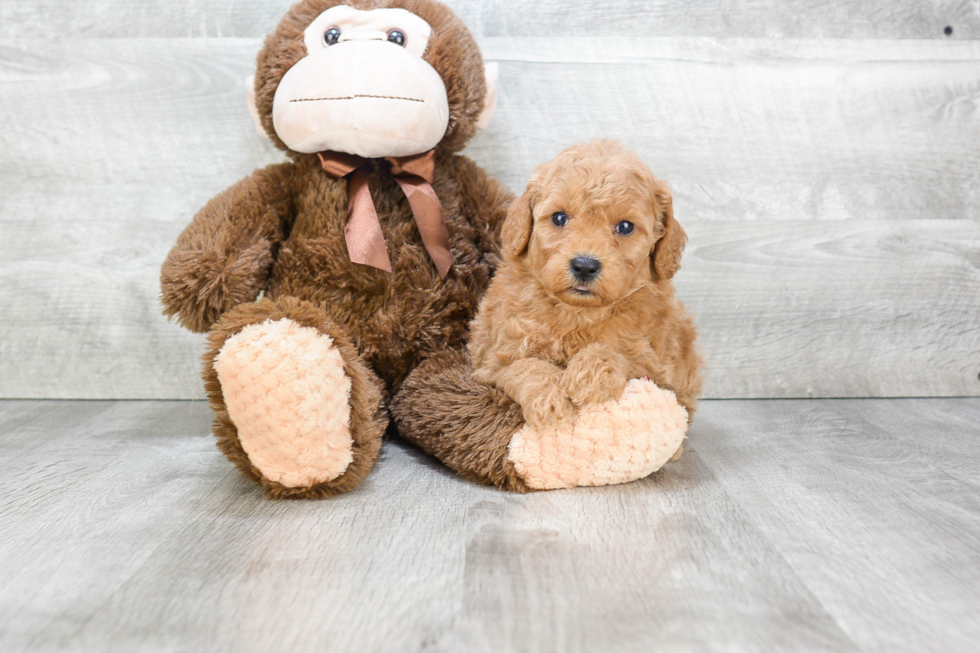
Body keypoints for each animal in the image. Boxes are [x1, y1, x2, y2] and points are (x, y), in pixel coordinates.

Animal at [468, 139, 704, 430]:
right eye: (559, 218)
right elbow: (524, 366)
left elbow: (624, 355)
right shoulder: (493, 360)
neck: (577, 313)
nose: (584, 265)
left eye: (625, 226)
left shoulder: (664, 372)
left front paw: (589, 374)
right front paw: (549, 398)